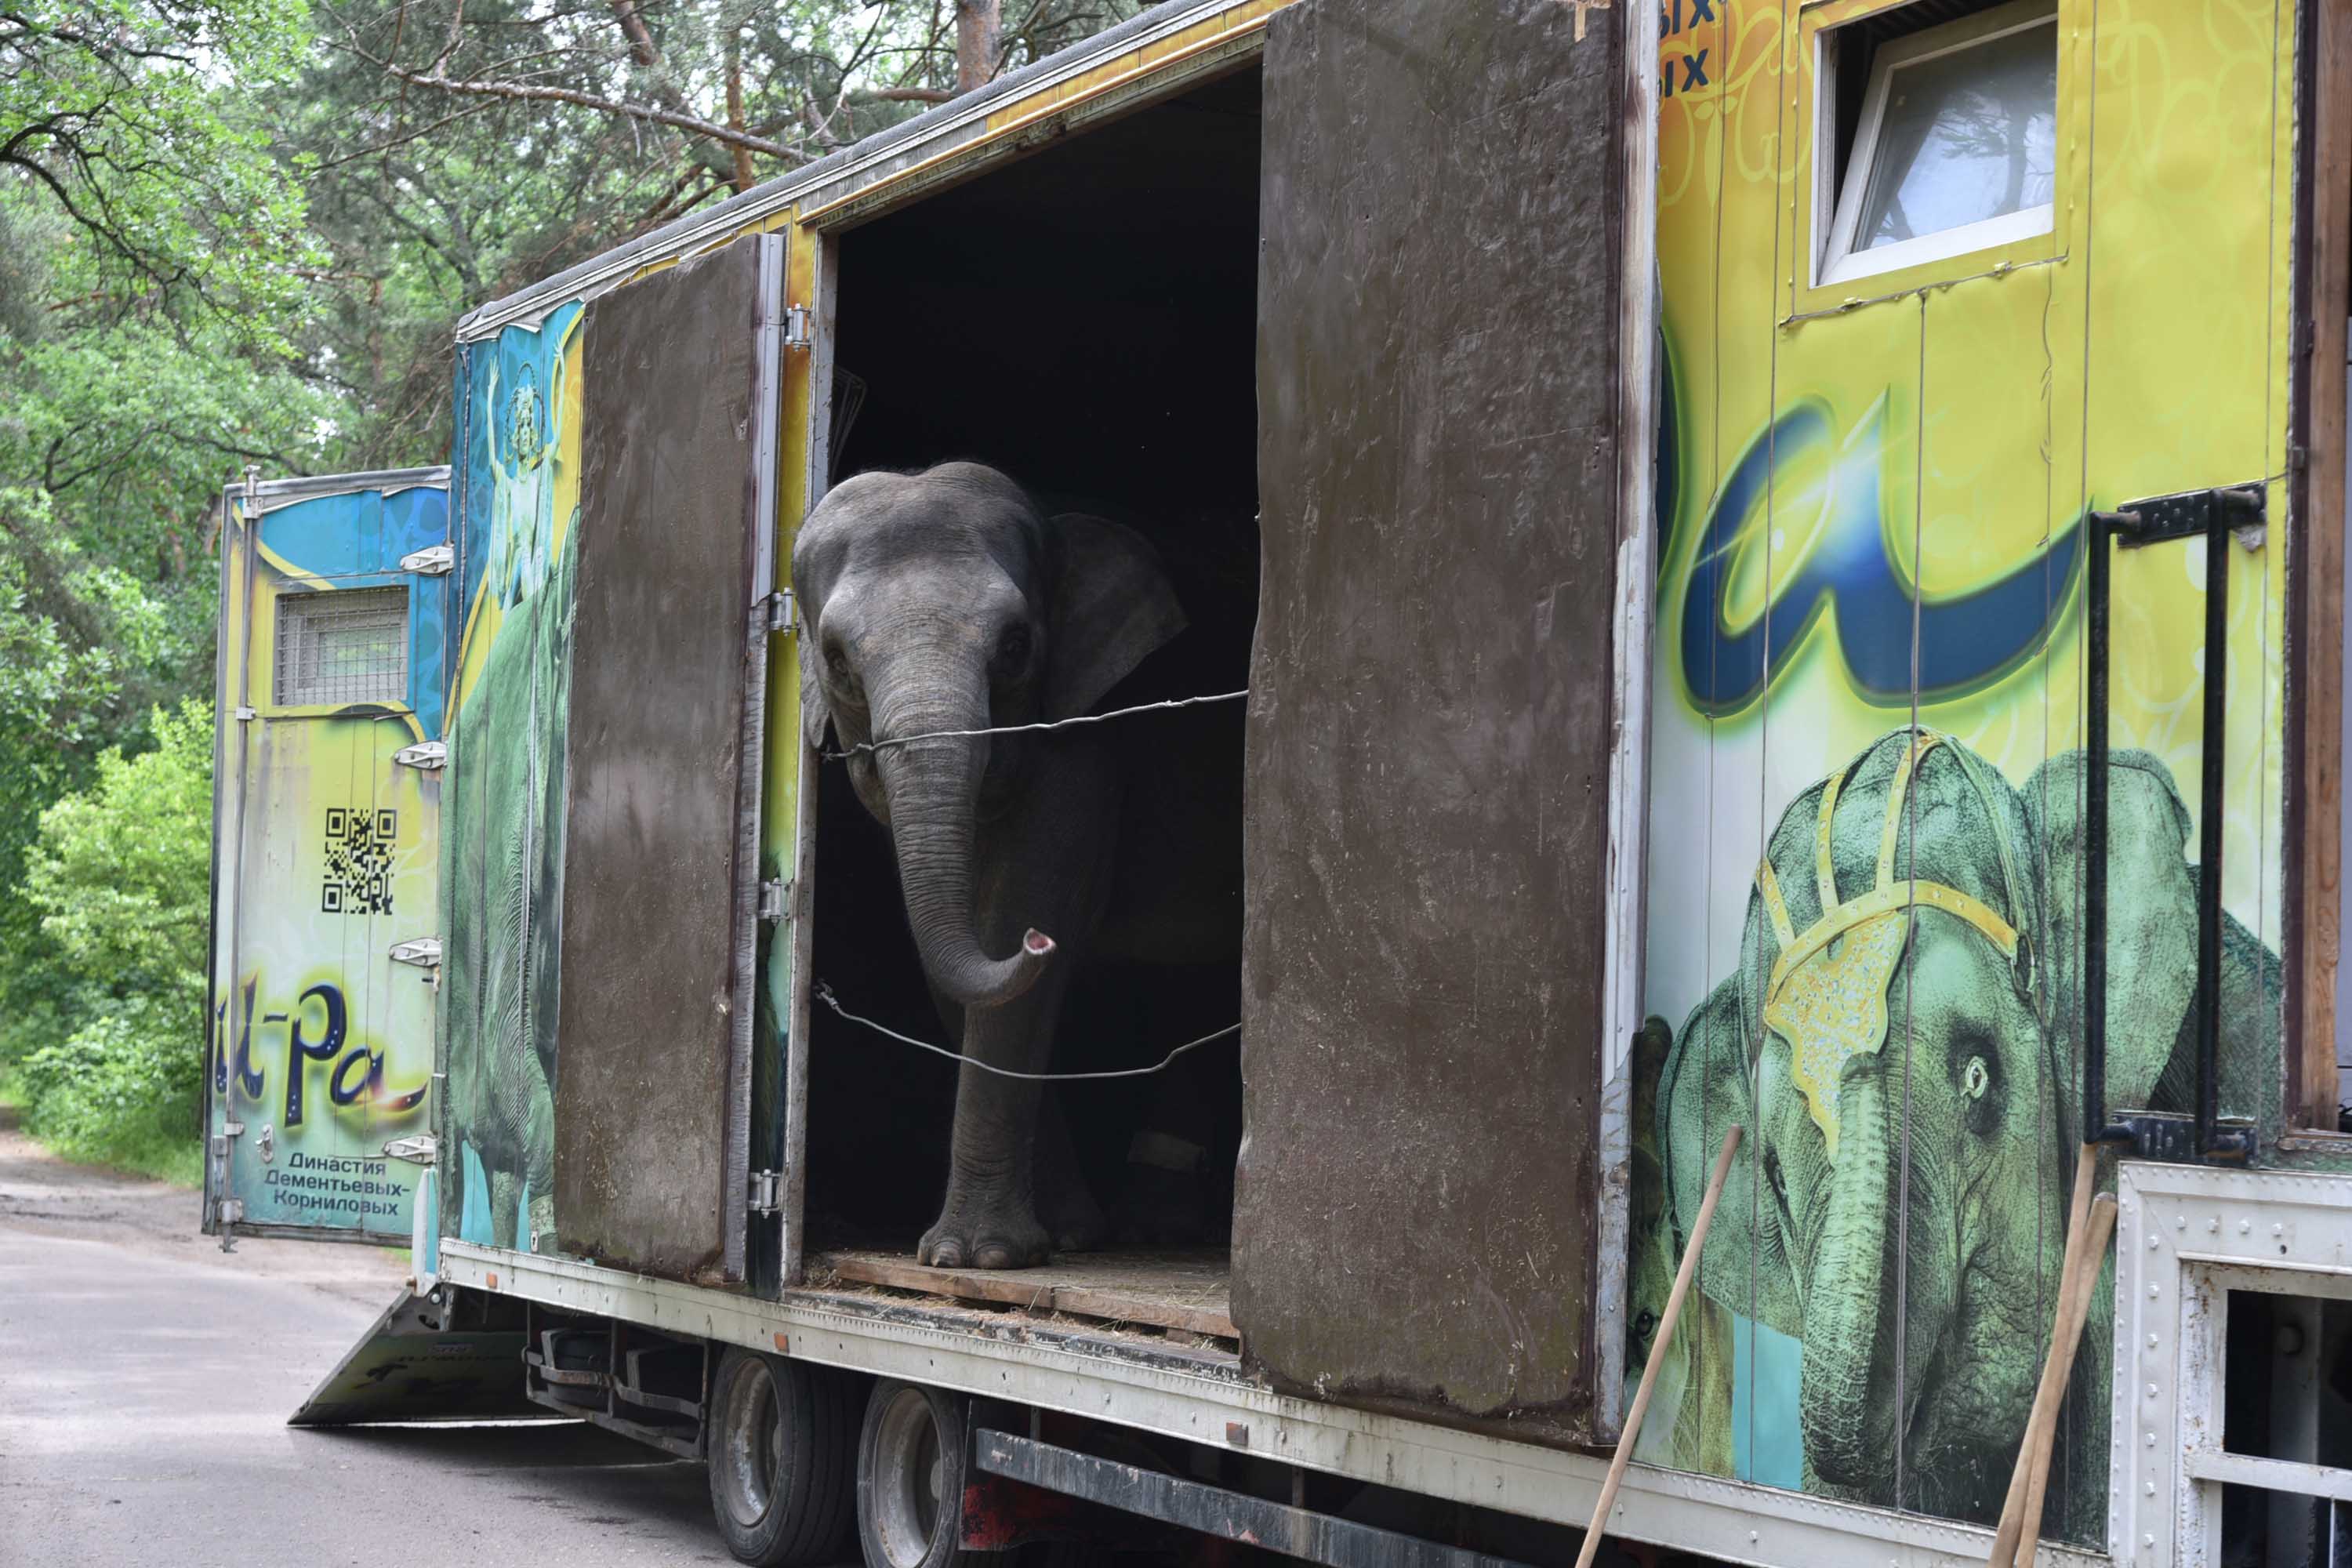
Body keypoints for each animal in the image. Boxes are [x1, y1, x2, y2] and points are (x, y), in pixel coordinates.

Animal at [795, 460, 1242, 1269]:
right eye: (837, 659)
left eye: (1015, 645)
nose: (1043, 944)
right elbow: (960, 951)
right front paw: (1060, 1237)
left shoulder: (1084, 730)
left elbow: (1013, 911)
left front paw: (978, 1257)